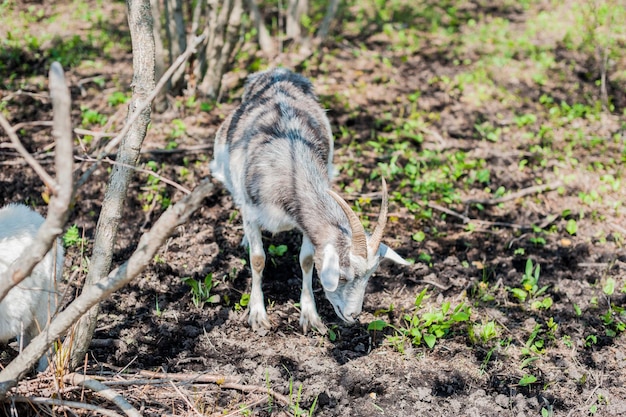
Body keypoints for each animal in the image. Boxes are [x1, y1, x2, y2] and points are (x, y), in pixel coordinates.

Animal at [207, 69, 408, 334]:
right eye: (341, 276)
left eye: (370, 276)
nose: (353, 315)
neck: (291, 172)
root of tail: (276, 72)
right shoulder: (251, 211)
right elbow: (258, 259)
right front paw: (258, 315)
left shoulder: (305, 225)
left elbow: (306, 260)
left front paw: (310, 316)